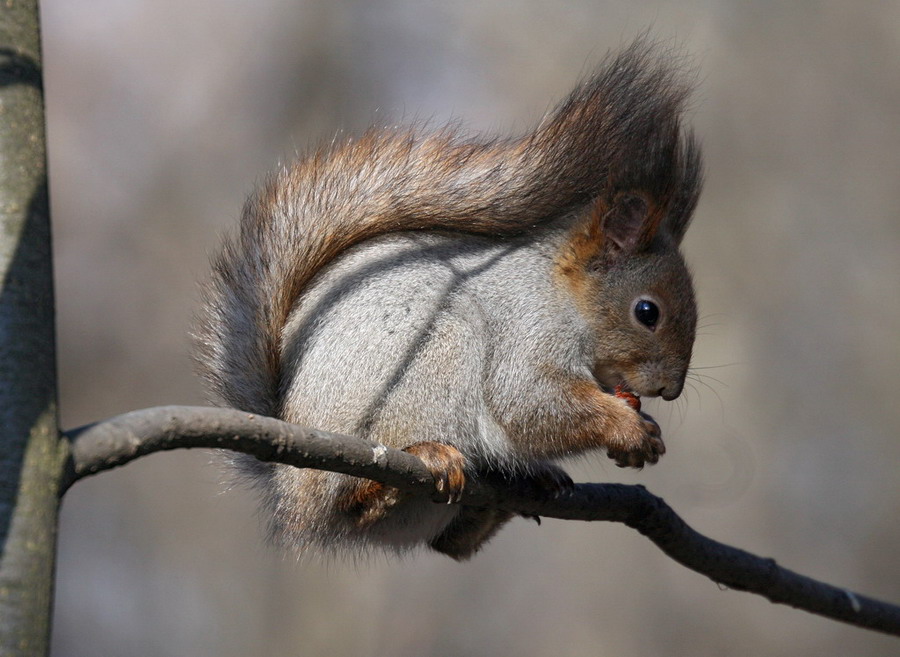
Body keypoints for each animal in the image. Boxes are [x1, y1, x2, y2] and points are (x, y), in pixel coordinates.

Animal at [195, 39, 704, 560]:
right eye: (647, 312)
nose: (670, 389)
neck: (561, 293)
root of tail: (290, 487)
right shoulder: (527, 326)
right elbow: (529, 400)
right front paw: (627, 427)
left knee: (452, 544)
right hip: (432, 356)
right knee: (353, 501)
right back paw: (406, 472)